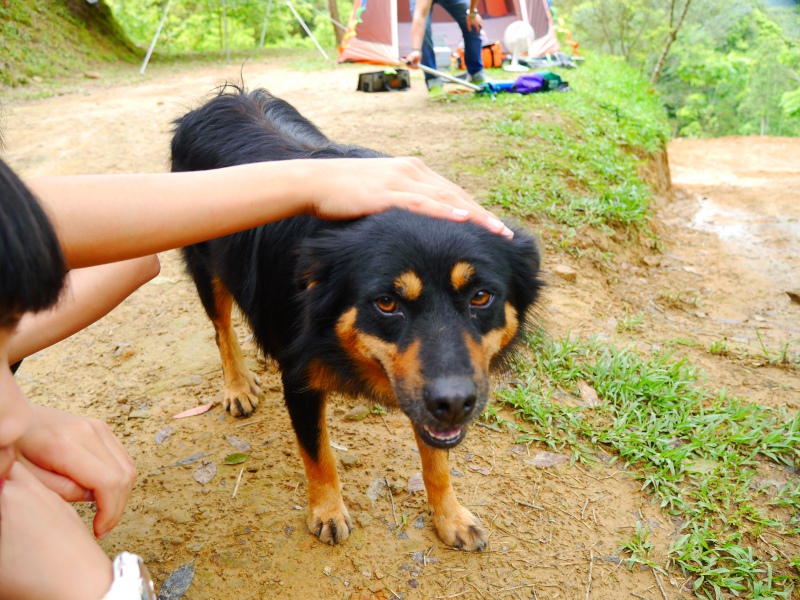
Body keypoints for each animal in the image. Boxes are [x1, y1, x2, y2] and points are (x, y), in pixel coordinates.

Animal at [171, 86, 542, 551]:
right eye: (385, 303)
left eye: (480, 296)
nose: (456, 403)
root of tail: (218, 100)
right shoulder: (299, 379)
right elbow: (318, 453)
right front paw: (328, 512)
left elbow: (436, 459)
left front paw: (450, 515)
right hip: (207, 268)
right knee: (222, 329)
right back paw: (237, 385)